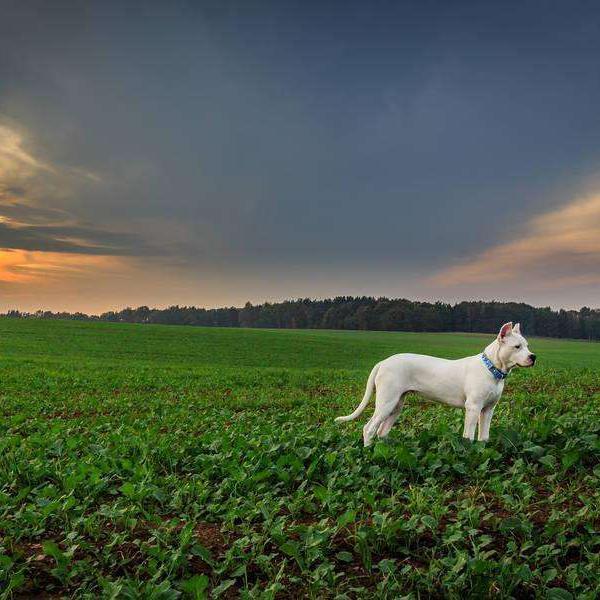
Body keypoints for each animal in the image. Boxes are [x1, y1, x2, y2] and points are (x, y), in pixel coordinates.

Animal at [336, 324, 536, 446]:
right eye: (517, 346)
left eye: (527, 345)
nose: (533, 356)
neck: (492, 369)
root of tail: (383, 362)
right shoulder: (473, 408)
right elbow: (469, 436)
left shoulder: (488, 410)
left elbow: (483, 437)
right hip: (387, 402)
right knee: (369, 428)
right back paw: (368, 452)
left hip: (396, 405)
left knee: (382, 430)